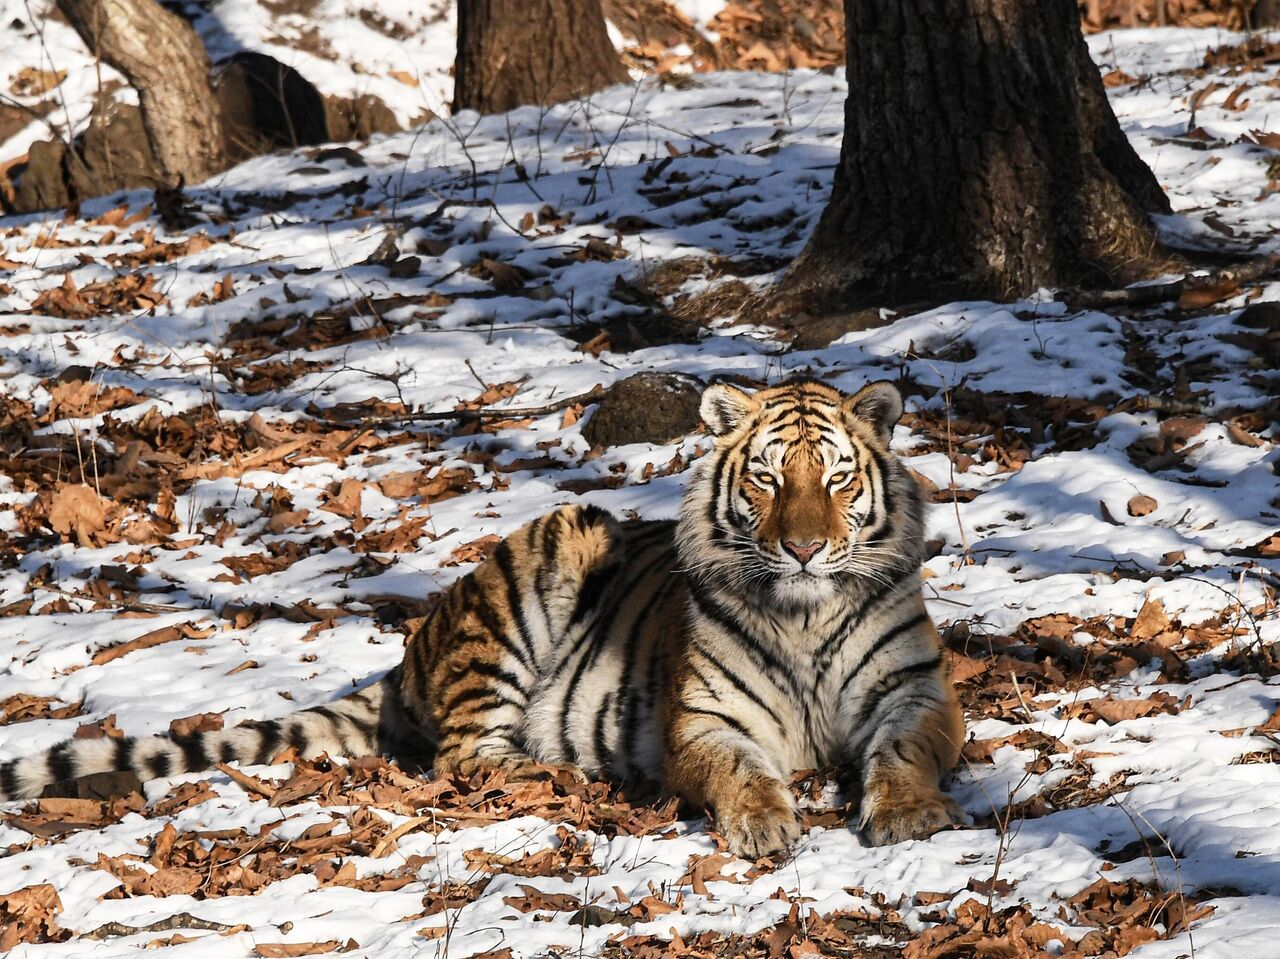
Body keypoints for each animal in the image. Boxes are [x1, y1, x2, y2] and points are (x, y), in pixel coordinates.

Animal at [0, 378, 962, 855]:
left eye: (836, 477)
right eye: (766, 478)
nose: (801, 547)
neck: (802, 613)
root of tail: (411, 650)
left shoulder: (918, 691)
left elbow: (906, 752)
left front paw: (909, 816)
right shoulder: (704, 718)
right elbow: (740, 769)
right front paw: (764, 820)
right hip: (545, 559)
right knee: (467, 755)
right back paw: (570, 774)